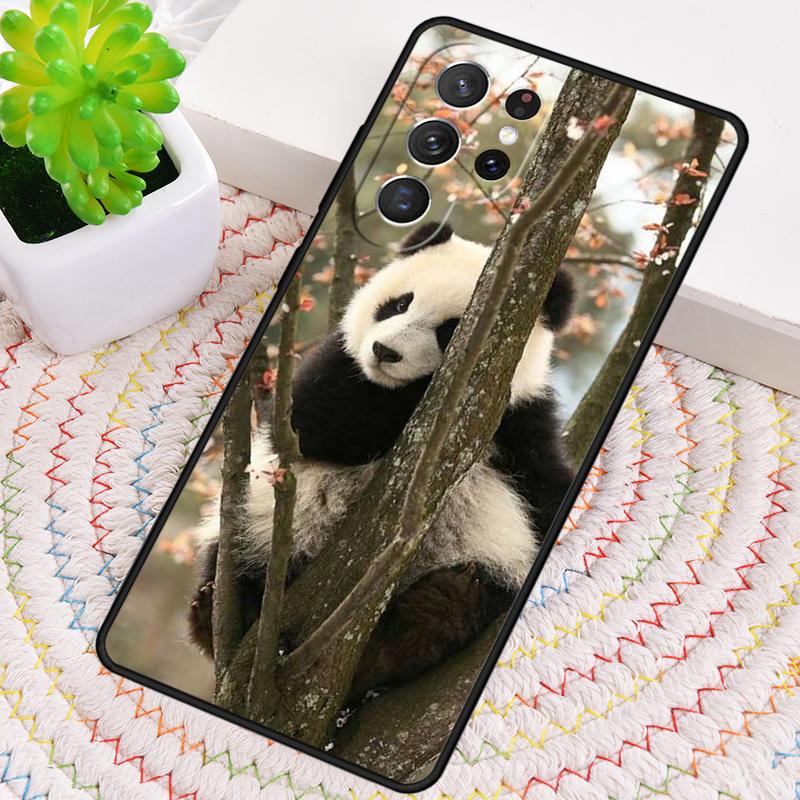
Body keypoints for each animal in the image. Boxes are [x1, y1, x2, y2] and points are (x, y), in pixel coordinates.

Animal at [189, 221, 575, 699]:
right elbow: (318, 421)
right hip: (261, 526)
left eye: (450, 331)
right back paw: (217, 612)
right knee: (234, 558)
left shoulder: (524, 424)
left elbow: (545, 490)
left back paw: (413, 628)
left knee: (459, 602)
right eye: (400, 303)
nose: (384, 352)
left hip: (483, 561)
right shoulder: (334, 371)